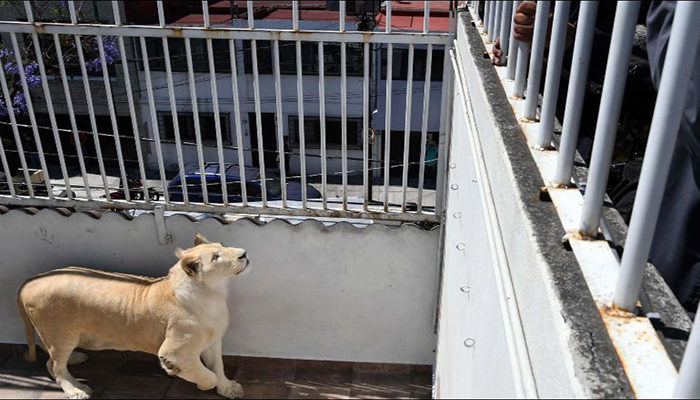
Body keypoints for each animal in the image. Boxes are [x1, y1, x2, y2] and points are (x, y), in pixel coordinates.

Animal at [16, 233, 249, 399]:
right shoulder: (174, 352)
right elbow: (207, 374)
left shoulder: (213, 340)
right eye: (215, 257)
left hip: (54, 335)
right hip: (61, 335)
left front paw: (228, 388)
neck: (213, 293)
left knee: (50, 359)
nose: (244, 253)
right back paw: (76, 390)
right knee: (55, 365)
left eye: (222, 244)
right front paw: (187, 377)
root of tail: (30, 280)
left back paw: (75, 358)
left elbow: (218, 366)